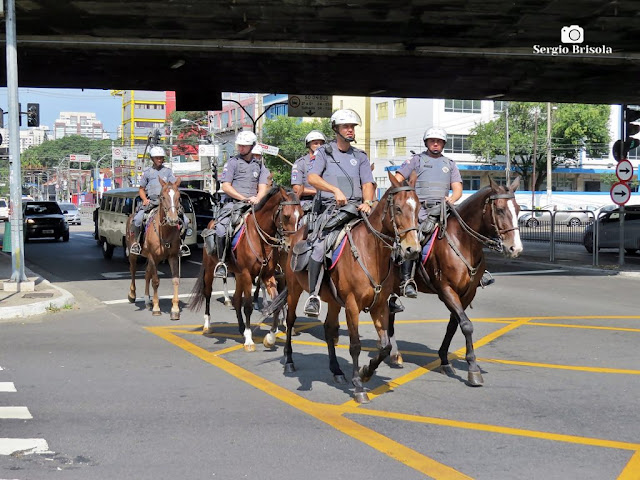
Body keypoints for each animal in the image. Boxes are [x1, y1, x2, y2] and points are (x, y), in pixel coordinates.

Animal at [125, 176, 184, 318]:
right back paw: (132, 295)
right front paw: (157, 308)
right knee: (133, 270)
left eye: (179, 197)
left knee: (147, 274)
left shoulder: (173, 257)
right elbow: (156, 281)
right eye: (162, 197)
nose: (173, 219)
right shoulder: (153, 257)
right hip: (134, 254)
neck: (165, 231)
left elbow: (175, 280)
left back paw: (147, 300)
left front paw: (175, 309)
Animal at [190, 186, 302, 350]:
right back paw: (207, 325)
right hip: (211, 270)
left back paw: (241, 327)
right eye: (287, 216)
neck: (260, 239)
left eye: (302, 215)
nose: (291, 246)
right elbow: (248, 306)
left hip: (238, 275)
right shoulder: (247, 274)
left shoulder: (268, 275)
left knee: (236, 299)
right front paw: (249, 339)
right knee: (208, 293)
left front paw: (270, 337)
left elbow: (276, 303)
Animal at [264, 171, 420, 404]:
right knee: (290, 321)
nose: (413, 249)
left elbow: (385, 346)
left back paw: (336, 370)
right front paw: (358, 386)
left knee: (329, 330)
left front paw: (366, 372)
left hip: (334, 301)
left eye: (419, 208)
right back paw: (289, 359)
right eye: (399, 208)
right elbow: (355, 345)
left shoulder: (380, 305)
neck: (370, 252)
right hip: (294, 289)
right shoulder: (352, 306)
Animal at [388, 176, 524, 386]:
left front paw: (444, 360)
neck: (464, 242)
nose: (515, 248)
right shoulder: (446, 290)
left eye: (517, 209)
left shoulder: (467, 293)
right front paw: (473, 369)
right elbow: (466, 325)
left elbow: (454, 324)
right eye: (500, 210)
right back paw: (394, 354)